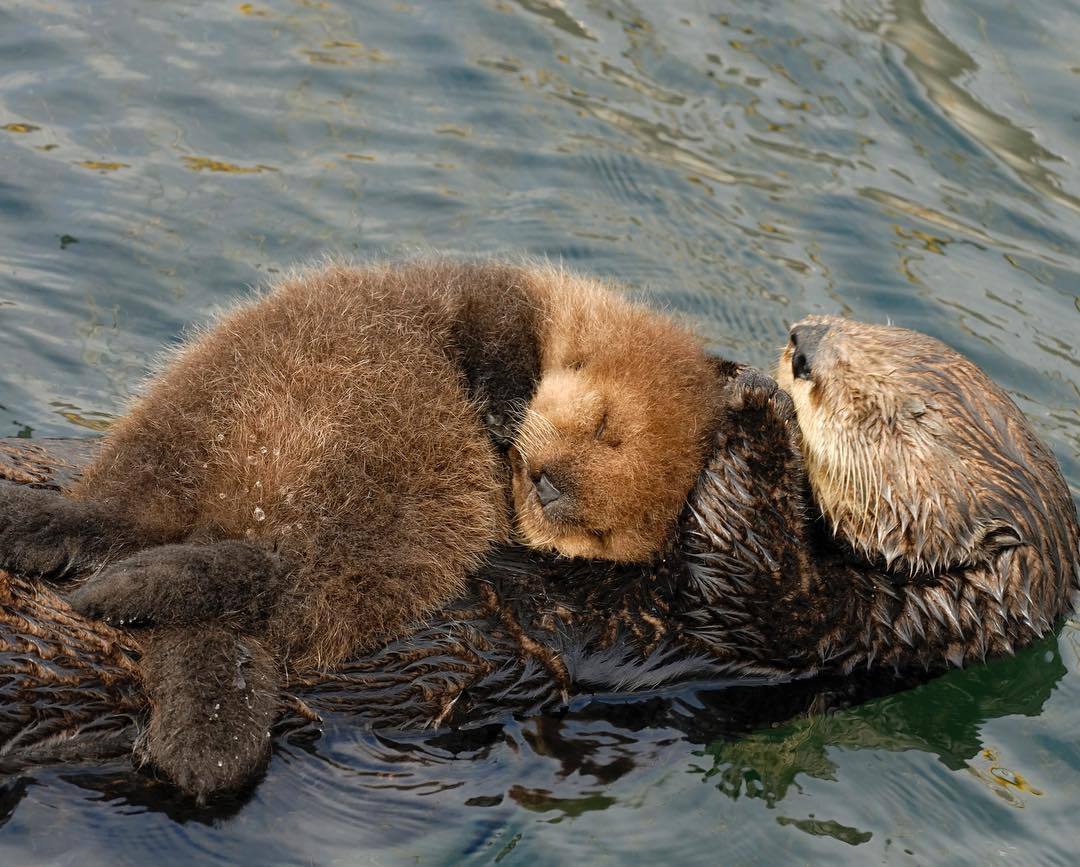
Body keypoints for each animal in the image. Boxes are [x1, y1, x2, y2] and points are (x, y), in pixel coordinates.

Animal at [0, 259, 725, 798]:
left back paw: (128, 592)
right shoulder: (498, 292)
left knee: (277, 581)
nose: (548, 485)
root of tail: (231, 512)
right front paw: (501, 405)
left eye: (596, 534)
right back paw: (51, 536)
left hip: (376, 526)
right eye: (606, 427)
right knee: (128, 510)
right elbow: (490, 329)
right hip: (203, 415)